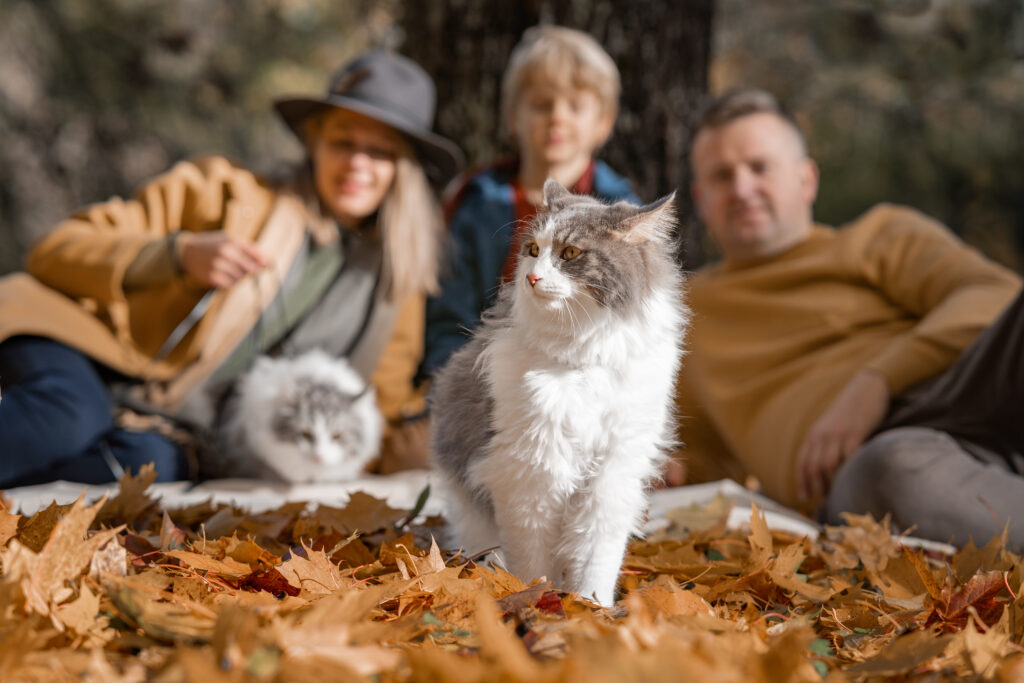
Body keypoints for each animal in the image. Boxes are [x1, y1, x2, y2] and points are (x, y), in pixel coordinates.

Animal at [428, 179, 684, 606]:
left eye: (570, 253)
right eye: (533, 250)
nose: (532, 278)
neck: (581, 360)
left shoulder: (614, 470)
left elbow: (597, 555)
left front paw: (591, 607)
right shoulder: (530, 468)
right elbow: (533, 560)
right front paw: (537, 599)